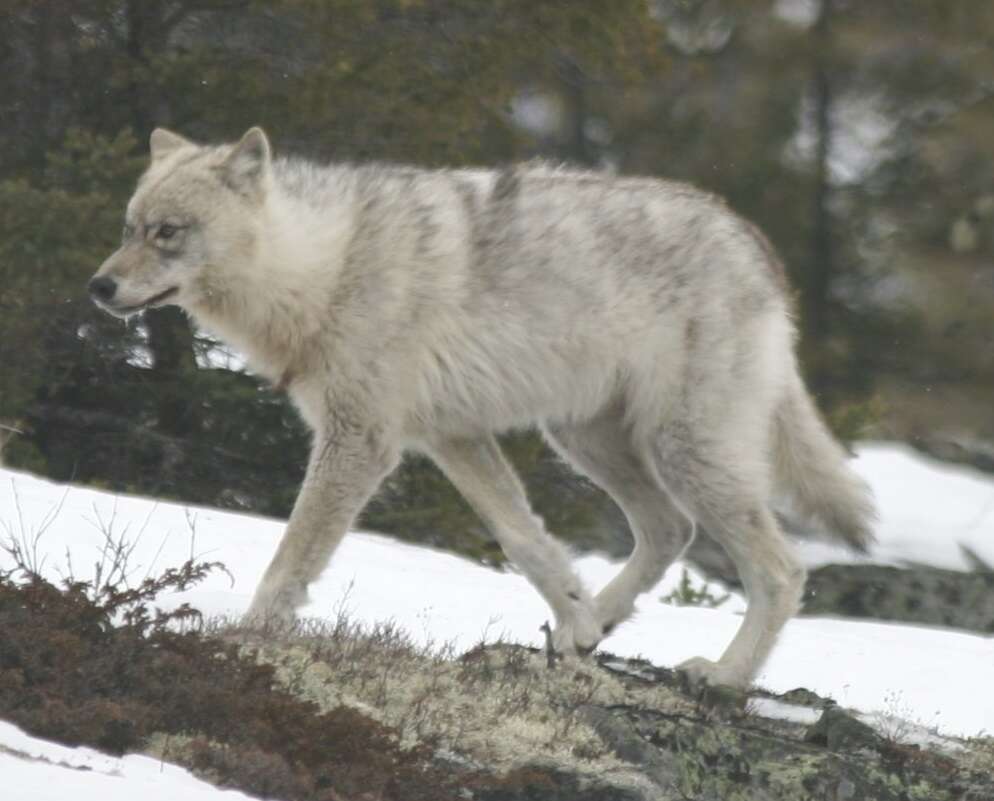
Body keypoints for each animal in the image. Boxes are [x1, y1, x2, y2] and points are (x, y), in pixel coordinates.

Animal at [89, 127, 875, 688]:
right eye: (128, 227)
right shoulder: (452, 437)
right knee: (667, 531)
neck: (322, 268)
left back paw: (725, 677)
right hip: (587, 441)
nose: (98, 287)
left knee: (781, 570)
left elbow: (290, 558)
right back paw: (594, 628)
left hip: (681, 451)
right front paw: (575, 618)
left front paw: (245, 636)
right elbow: (525, 540)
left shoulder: (362, 442)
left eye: (167, 232)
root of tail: (755, 244)